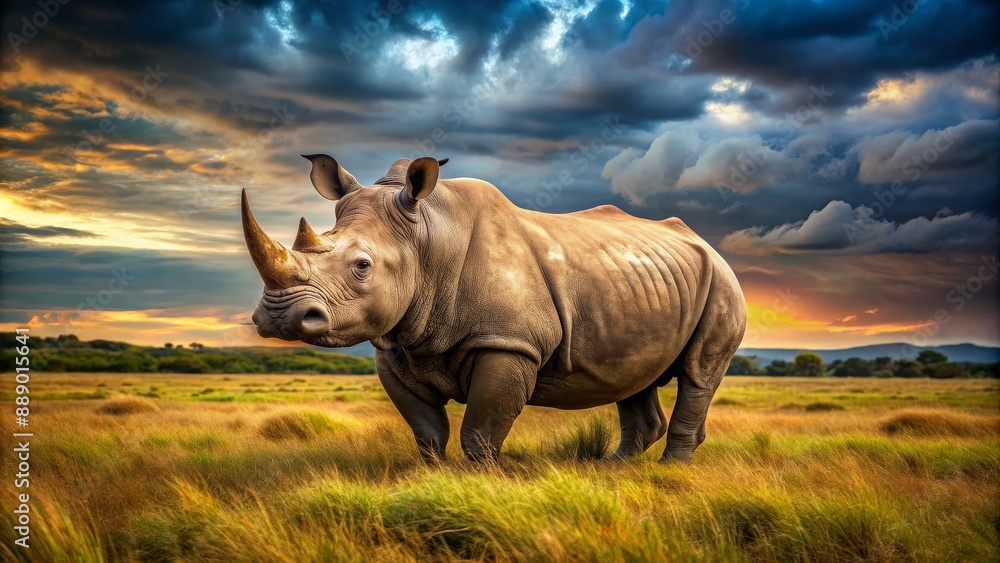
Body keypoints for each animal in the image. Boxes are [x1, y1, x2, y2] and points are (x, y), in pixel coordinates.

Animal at [242, 154, 747, 463]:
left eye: (362, 267)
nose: (279, 317)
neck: (427, 238)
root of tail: (705, 243)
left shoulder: (510, 342)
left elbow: (481, 431)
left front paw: (479, 483)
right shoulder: (396, 344)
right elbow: (427, 431)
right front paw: (431, 477)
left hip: (722, 282)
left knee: (699, 374)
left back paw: (668, 471)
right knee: (633, 375)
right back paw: (612, 468)